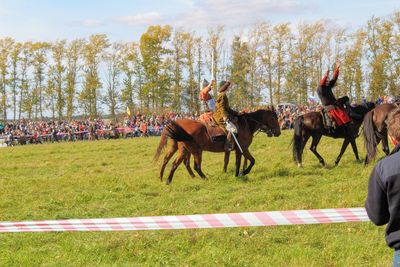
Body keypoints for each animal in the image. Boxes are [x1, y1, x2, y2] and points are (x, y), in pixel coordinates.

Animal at [153, 109, 282, 184]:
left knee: (173, 162)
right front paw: (240, 173)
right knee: (195, 166)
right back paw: (204, 178)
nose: (278, 132)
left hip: (183, 150)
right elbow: (245, 162)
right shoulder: (242, 148)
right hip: (196, 151)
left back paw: (167, 180)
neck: (246, 125)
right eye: (274, 118)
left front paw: (234, 173)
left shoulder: (237, 149)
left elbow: (231, 161)